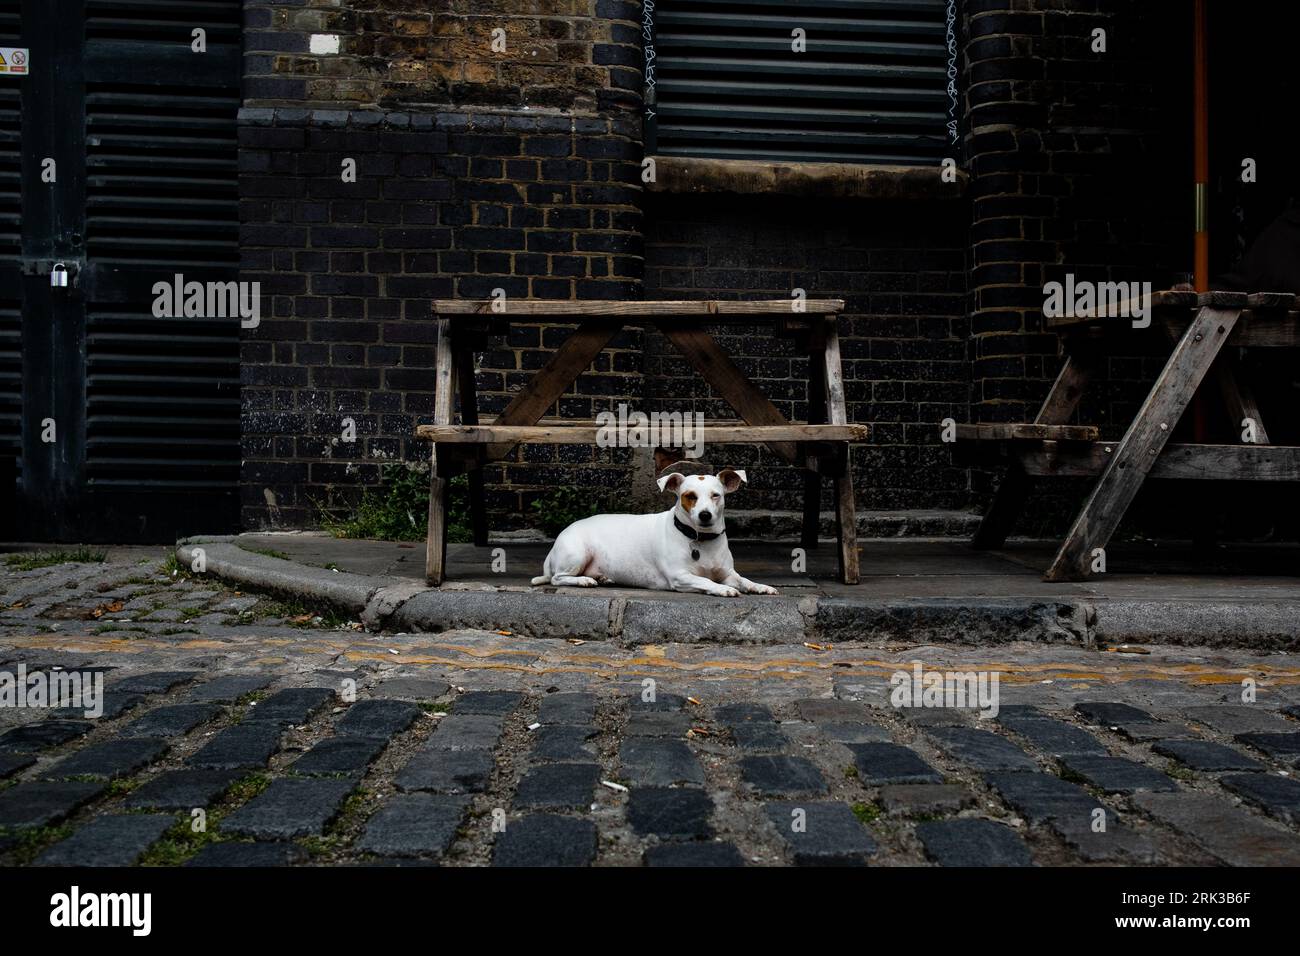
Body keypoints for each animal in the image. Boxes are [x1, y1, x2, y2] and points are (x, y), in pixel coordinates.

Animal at [530, 470, 774, 598]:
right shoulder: (680, 577)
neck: (699, 539)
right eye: (690, 496)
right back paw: (583, 581)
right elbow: (707, 581)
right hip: (577, 554)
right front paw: (723, 589)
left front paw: (760, 586)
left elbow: (743, 580)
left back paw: (601, 577)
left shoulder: (728, 573)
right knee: (558, 578)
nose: (705, 515)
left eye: (716, 495)